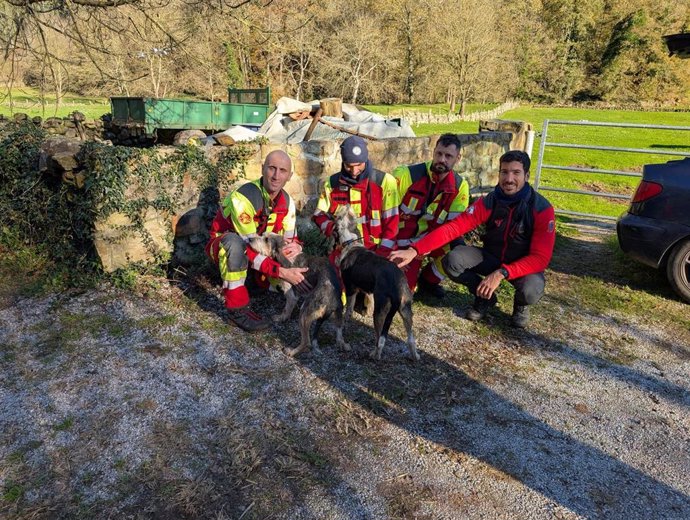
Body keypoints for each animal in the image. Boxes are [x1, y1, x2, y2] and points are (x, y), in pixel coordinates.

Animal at [330, 205, 416, 360]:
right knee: (410, 338)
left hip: (381, 312)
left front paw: (345, 323)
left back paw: (375, 354)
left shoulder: (351, 289)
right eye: (350, 214)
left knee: (379, 340)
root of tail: (396, 286)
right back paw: (414, 355)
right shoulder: (367, 290)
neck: (352, 243)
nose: (346, 205)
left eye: (339, 217)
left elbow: (348, 310)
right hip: (406, 310)